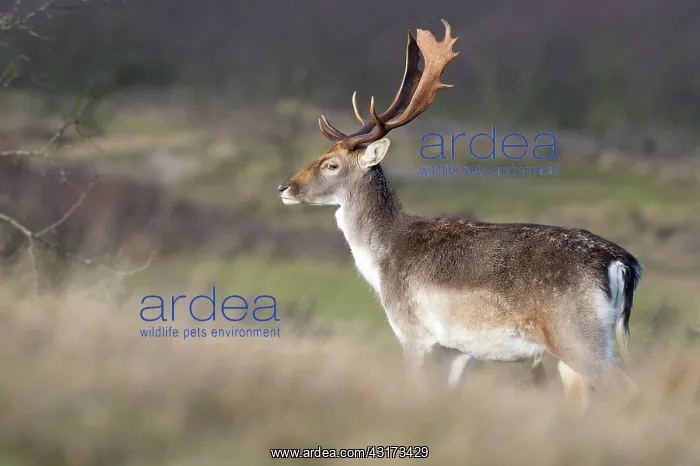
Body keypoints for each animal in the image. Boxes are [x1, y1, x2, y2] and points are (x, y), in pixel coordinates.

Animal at [277, 19, 642, 410]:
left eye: (331, 164)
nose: (285, 187)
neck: (383, 261)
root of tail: (623, 263)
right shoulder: (458, 349)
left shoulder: (413, 331)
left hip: (576, 335)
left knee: (627, 388)